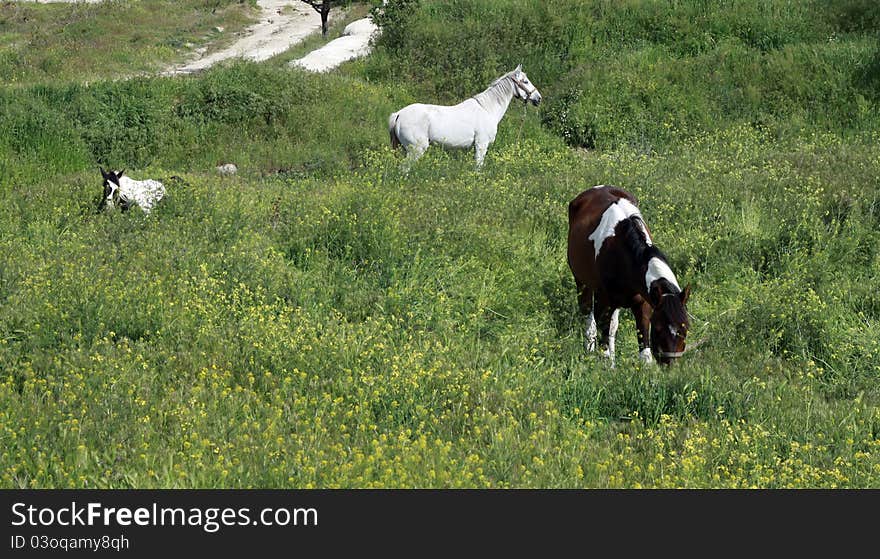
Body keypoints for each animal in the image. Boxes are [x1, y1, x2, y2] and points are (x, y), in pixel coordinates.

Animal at [388, 63, 540, 168]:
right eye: (525, 81)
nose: (538, 98)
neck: (487, 109)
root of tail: (399, 114)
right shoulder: (481, 145)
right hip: (416, 149)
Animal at [568, 186, 692, 366]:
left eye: (685, 329)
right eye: (658, 329)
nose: (670, 365)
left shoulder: (644, 305)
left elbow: (644, 353)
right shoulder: (603, 303)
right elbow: (603, 344)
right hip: (582, 283)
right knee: (589, 319)